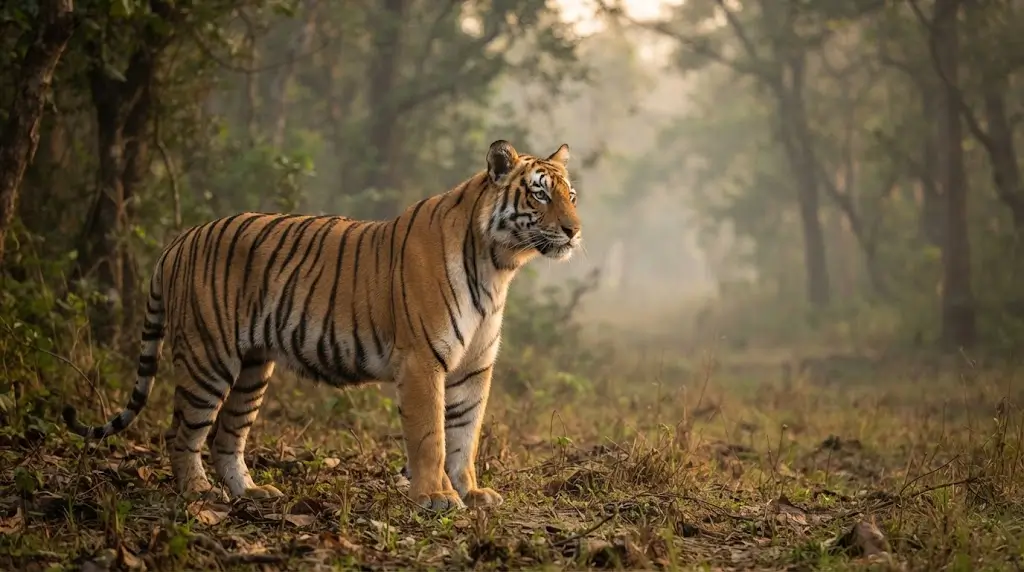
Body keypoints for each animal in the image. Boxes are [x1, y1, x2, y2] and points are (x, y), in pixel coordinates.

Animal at [62, 140, 582, 511]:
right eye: (539, 194)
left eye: (571, 196)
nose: (575, 230)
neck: (498, 265)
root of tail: (182, 237)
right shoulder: (423, 362)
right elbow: (432, 436)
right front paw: (436, 498)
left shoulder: (474, 368)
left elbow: (465, 437)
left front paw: (471, 493)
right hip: (208, 358)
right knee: (183, 433)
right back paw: (197, 493)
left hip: (253, 368)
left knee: (227, 435)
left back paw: (251, 494)